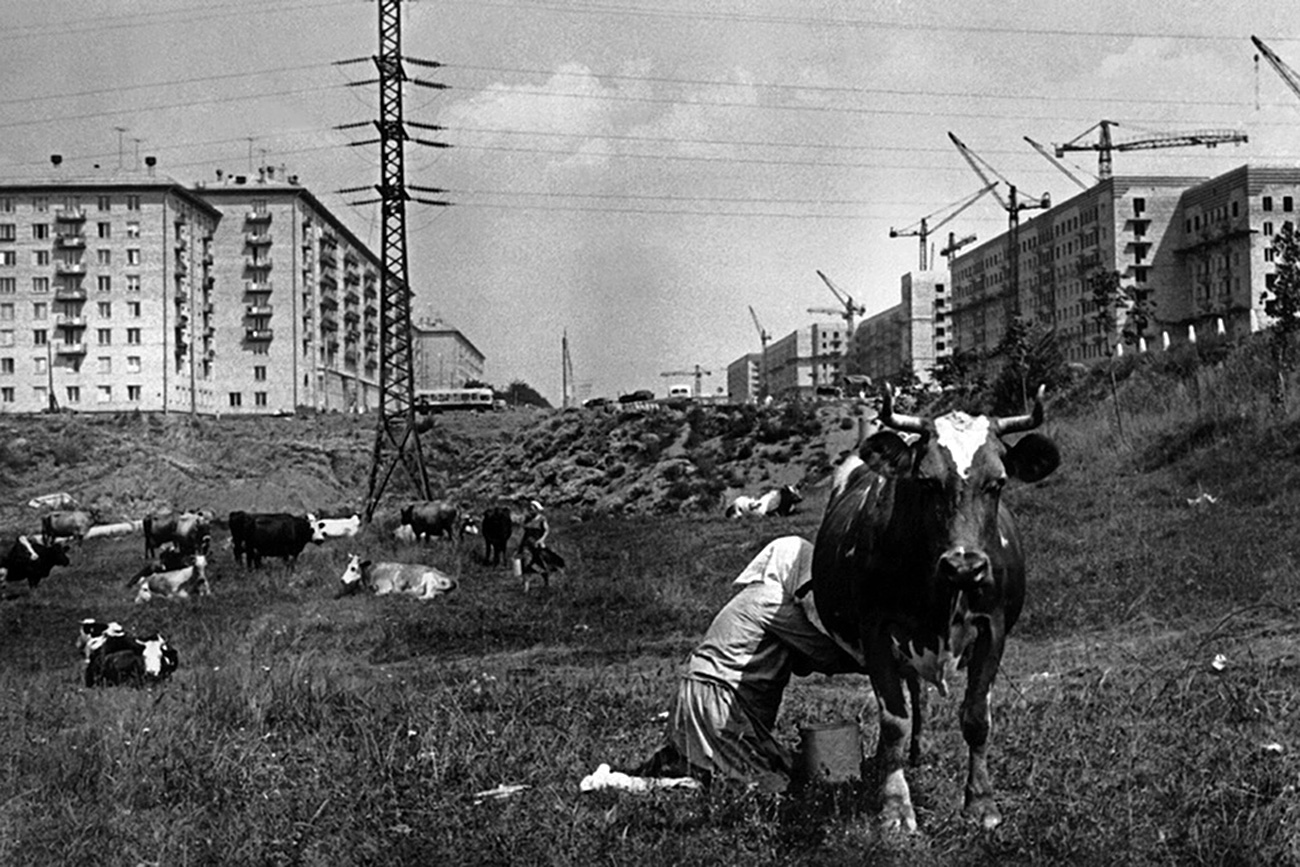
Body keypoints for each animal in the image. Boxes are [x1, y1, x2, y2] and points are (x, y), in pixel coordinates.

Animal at [806, 387, 1060, 831]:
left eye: (998, 482)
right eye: (926, 481)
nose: (965, 566)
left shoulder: (993, 627)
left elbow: (976, 717)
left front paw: (981, 803)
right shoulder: (876, 630)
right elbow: (894, 719)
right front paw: (895, 806)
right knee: (909, 699)